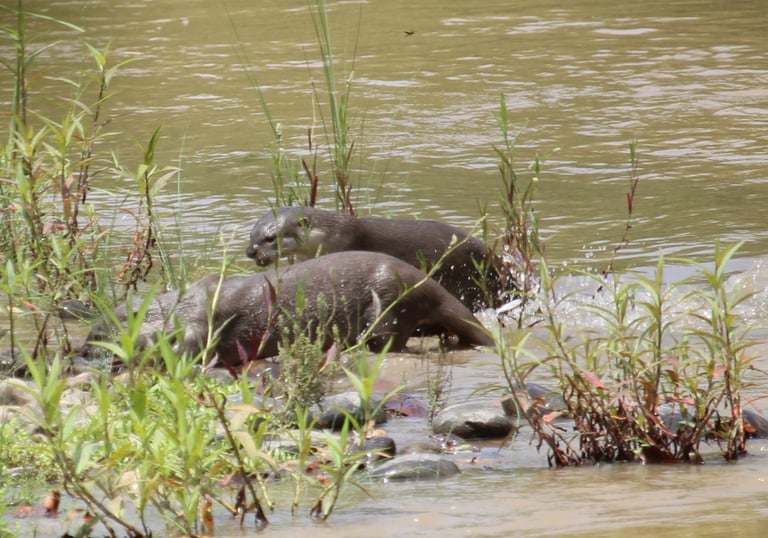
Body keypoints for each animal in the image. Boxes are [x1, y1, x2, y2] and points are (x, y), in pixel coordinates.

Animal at [82, 252, 494, 367]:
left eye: (95, 341)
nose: (79, 353)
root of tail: (425, 282)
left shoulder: (198, 321)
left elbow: (193, 344)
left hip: (390, 300)